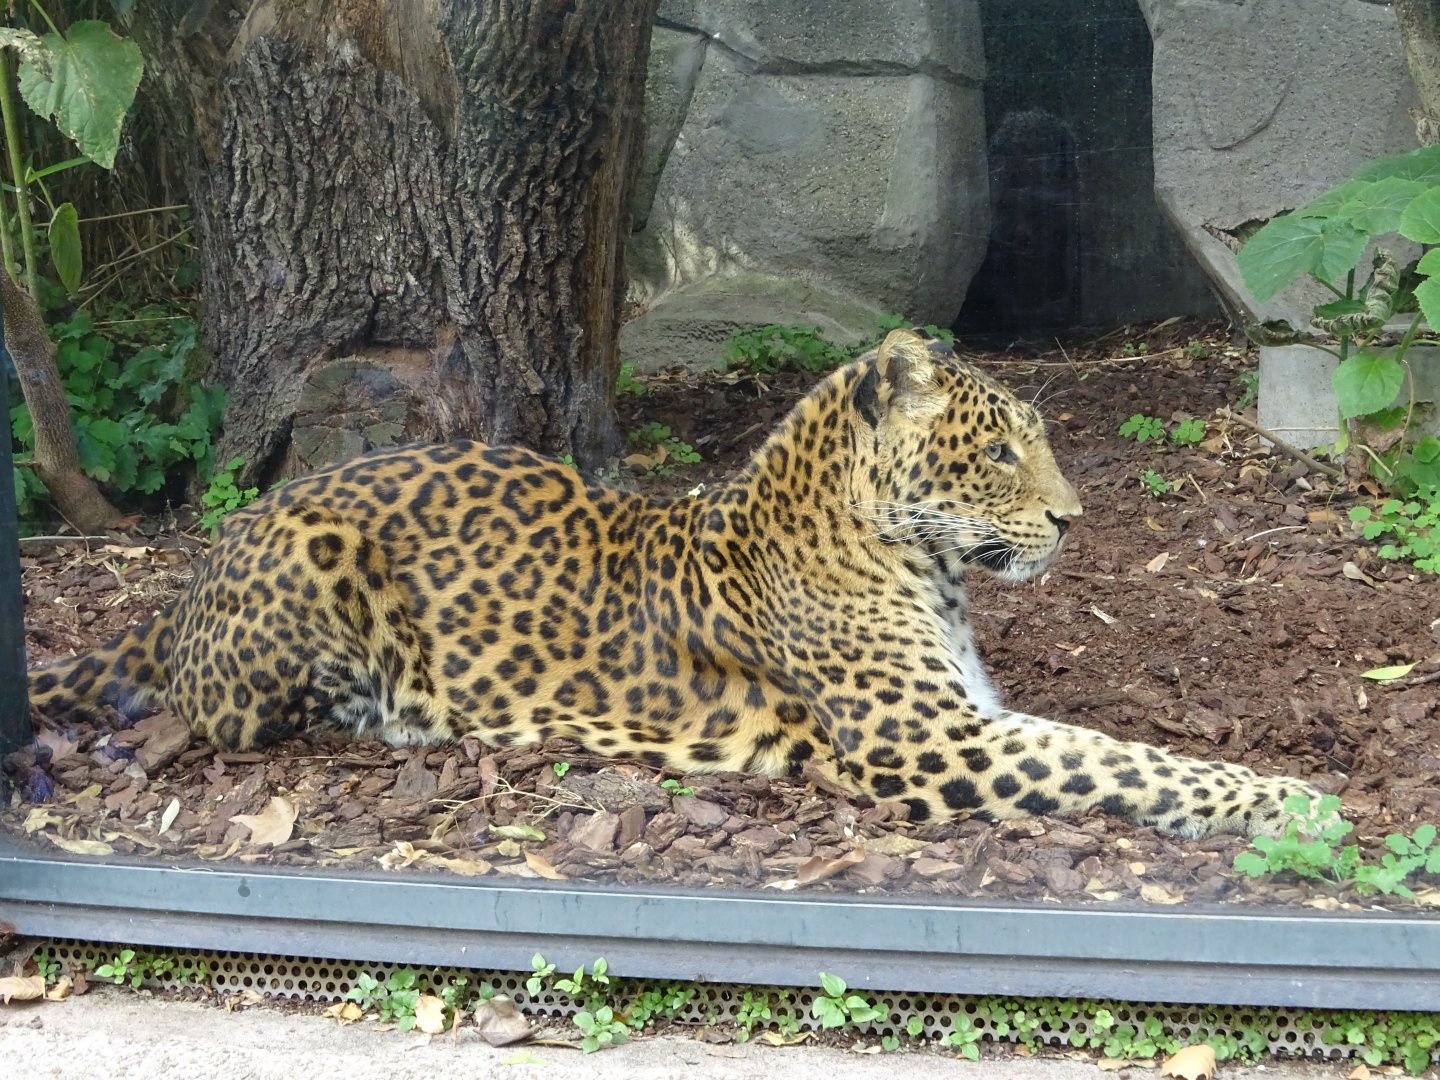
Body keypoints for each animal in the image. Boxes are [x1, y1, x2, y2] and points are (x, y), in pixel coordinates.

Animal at [27, 328, 1325, 838]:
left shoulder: (972, 715)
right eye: (999, 450)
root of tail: (194, 575)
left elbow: (1113, 742)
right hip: (315, 567)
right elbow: (1121, 764)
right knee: (232, 719)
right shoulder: (925, 744)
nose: (1073, 518)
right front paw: (1291, 804)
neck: (913, 559)